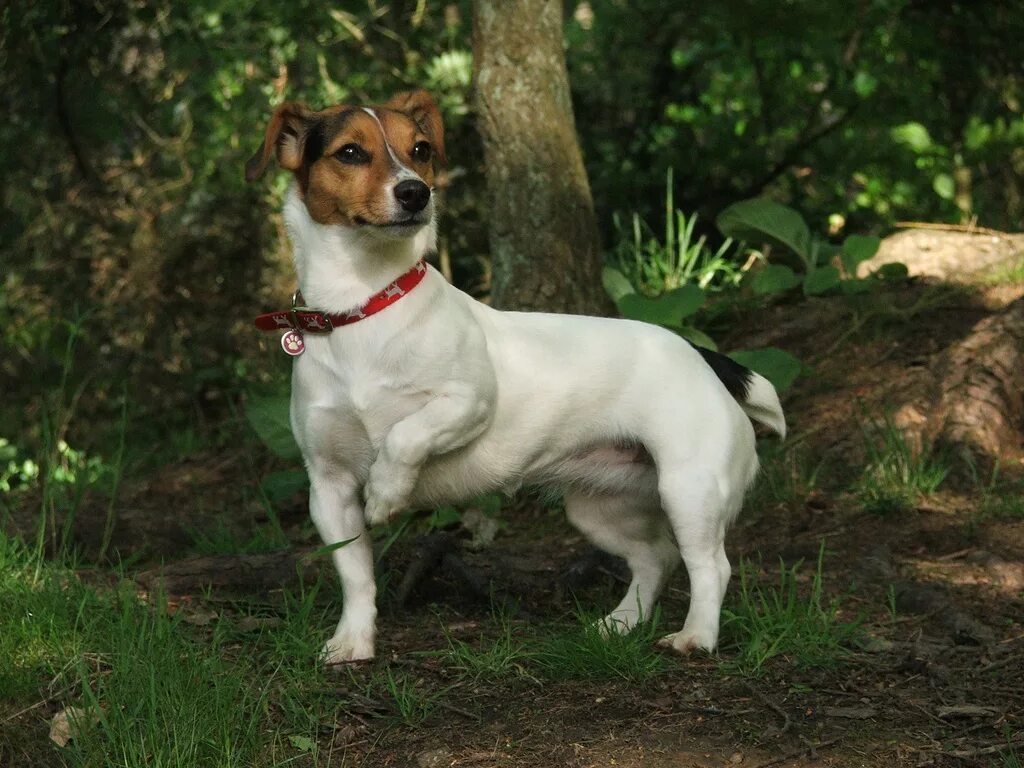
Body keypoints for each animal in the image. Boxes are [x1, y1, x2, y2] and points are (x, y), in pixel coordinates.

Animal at [245, 91, 782, 667]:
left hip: (690, 489)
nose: (416, 192)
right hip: (599, 507)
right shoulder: (328, 488)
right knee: (655, 558)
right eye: (349, 152)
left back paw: (696, 635)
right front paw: (354, 640)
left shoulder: (470, 403)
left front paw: (388, 492)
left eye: (420, 149)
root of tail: (705, 356)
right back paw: (621, 623)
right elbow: (355, 573)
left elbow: (406, 436)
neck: (363, 307)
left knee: (710, 565)